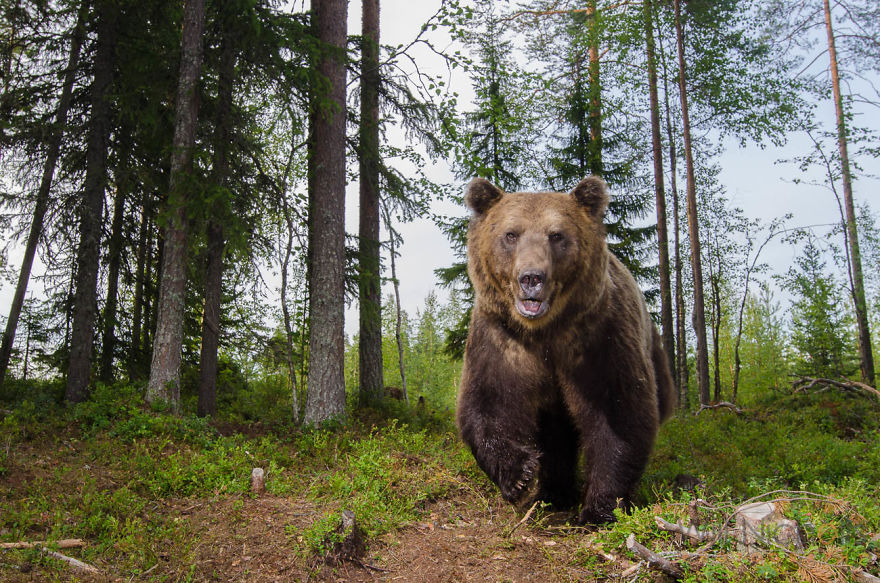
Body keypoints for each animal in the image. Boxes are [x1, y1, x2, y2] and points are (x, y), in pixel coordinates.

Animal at [456, 176, 676, 525]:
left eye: (556, 235)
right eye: (510, 234)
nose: (531, 278)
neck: (545, 331)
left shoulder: (598, 337)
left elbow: (618, 413)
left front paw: (600, 507)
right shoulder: (501, 337)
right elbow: (489, 402)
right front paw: (520, 475)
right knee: (556, 436)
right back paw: (553, 493)